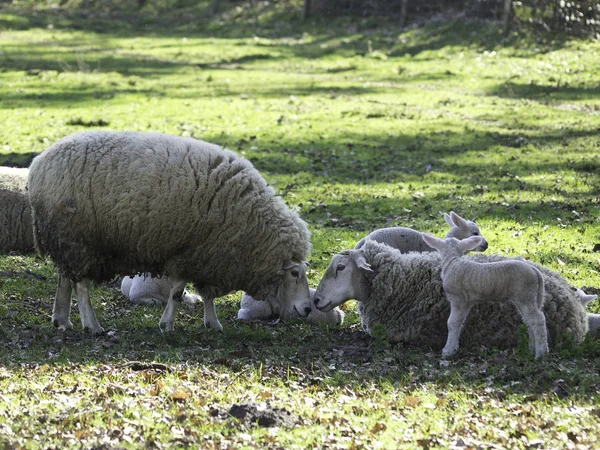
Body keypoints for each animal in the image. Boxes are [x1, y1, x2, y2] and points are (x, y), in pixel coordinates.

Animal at [27, 130, 312, 334]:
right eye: (295, 273)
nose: (309, 308)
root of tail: (38, 164)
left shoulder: (207, 256)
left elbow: (206, 294)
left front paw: (213, 324)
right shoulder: (191, 252)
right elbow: (177, 293)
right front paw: (168, 325)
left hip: (65, 239)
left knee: (65, 278)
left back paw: (61, 320)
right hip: (79, 239)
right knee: (81, 285)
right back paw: (92, 325)